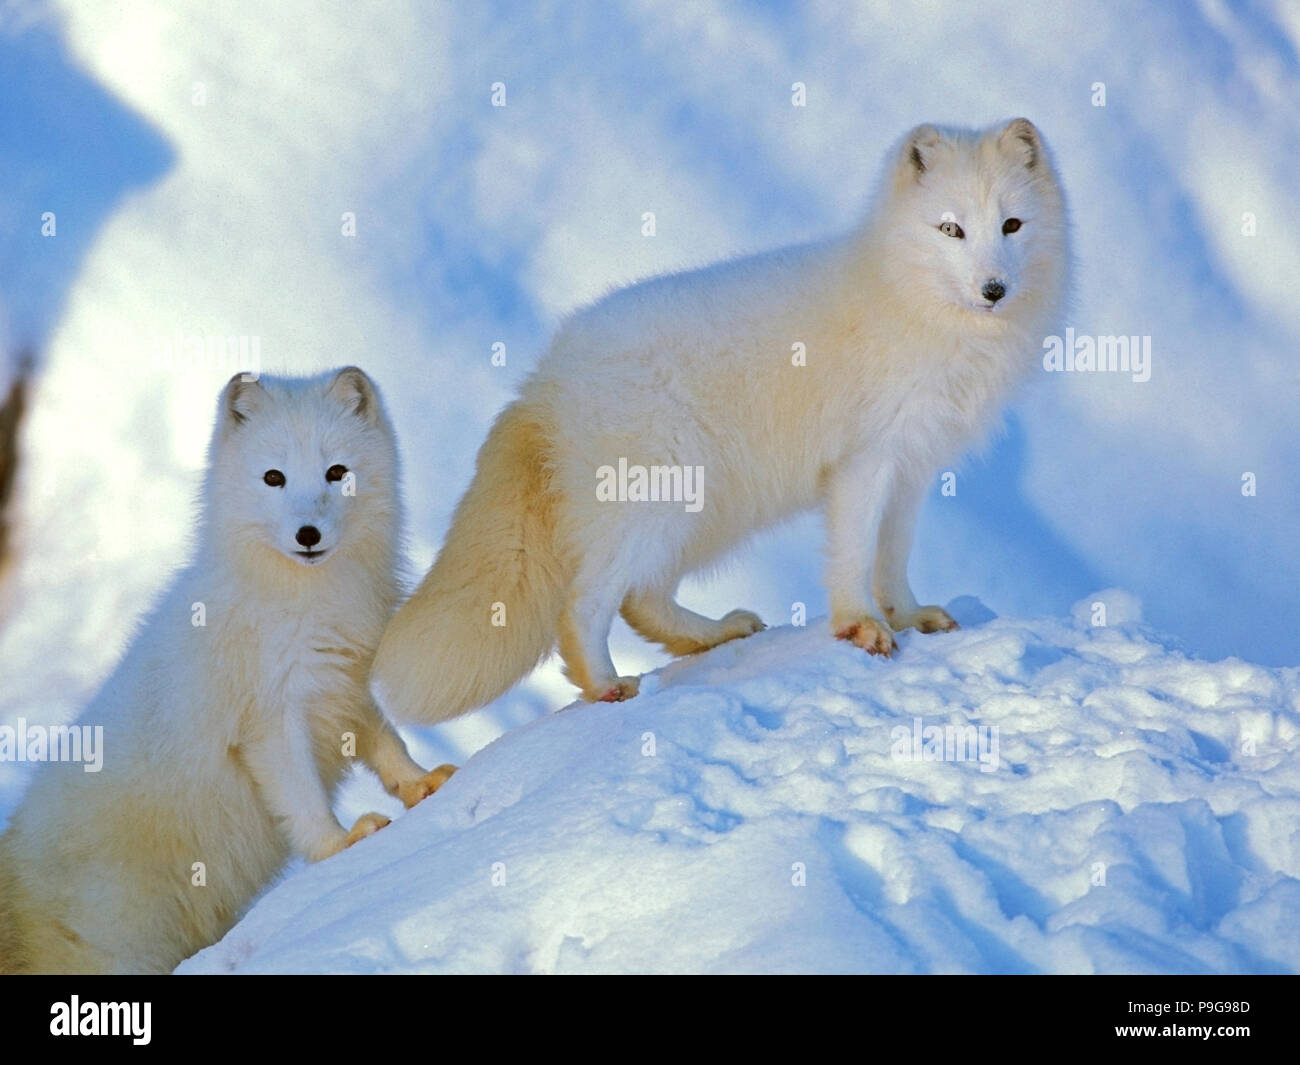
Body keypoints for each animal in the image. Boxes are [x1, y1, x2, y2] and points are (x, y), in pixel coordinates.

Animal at [0, 366, 457, 972]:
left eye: (337, 473)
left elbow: (387, 743)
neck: (306, 601)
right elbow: (301, 798)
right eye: (273, 477)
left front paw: (421, 782)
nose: (308, 534)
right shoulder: (267, 718)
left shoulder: (346, 682)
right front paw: (341, 844)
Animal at [371, 120, 1071, 723]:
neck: (910, 301)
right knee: (586, 602)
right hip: (655, 503)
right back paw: (606, 685)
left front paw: (910, 617)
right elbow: (853, 556)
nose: (993, 289)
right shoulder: (864, 463)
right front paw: (861, 628)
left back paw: (714, 636)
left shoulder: (913, 467)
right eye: (951, 229)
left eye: (1011, 225)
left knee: (643, 599)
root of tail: (543, 381)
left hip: (699, 513)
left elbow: (892, 560)